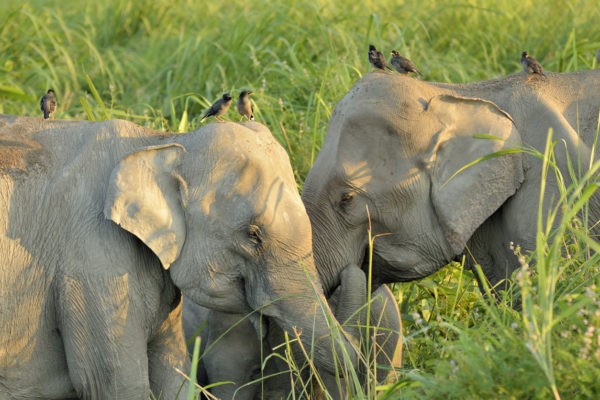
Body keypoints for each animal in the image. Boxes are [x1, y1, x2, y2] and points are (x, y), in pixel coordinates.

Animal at [0, 115, 356, 400]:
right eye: (253, 235)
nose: (353, 266)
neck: (160, 143)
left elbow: (173, 373)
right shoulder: (93, 261)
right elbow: (112, 384)